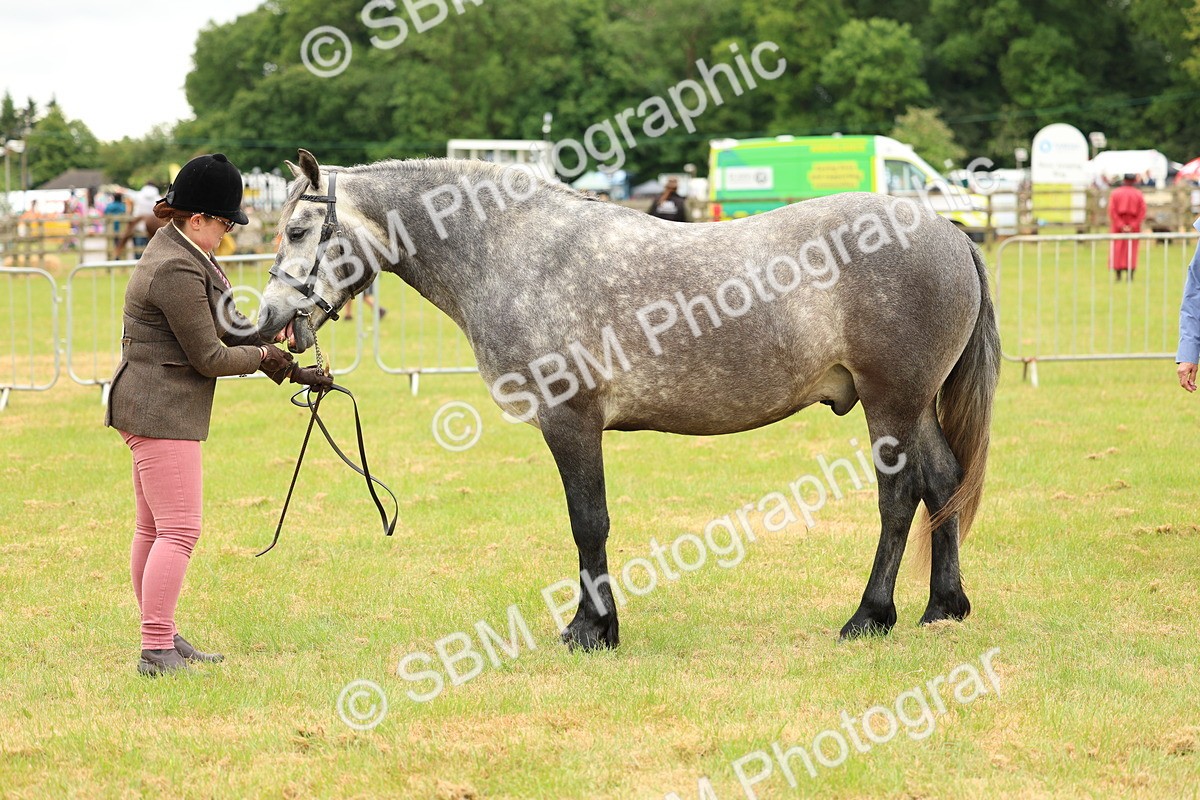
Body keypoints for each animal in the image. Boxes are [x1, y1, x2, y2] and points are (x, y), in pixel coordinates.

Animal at [255, 149, 1000, 649]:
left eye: (297, 232)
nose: (264, 321)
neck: (515, 251)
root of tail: (951, 232)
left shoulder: (570, 420)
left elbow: (589, 522)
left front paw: (593, 628)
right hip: (916, 406)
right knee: (943, 482)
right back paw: (944, 607)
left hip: (892, 404)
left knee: (899, 498)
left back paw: (871, 616)